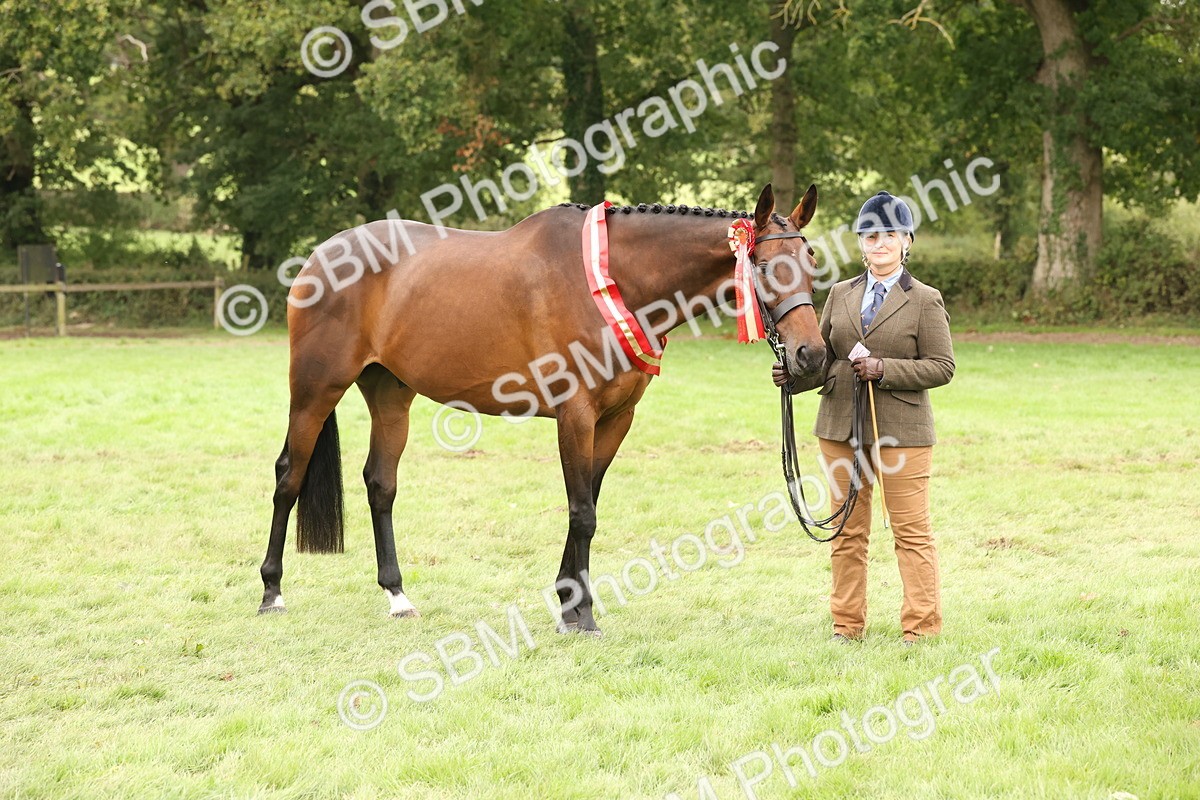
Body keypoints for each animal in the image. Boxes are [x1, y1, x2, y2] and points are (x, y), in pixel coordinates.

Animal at [257, 182, 825, 635]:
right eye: (762, 266)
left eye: (811, 263)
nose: (811, 355)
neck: (614, 280)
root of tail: (320, 255)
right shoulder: (576, 415)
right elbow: (582, 511)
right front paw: (584, 615)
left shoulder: (615, 420)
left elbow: (589, 502)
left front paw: (569, 603)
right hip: (314, 391)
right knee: (288, 476)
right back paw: (272, 593)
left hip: (391, 395)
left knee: (380, 484)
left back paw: (397, 597)